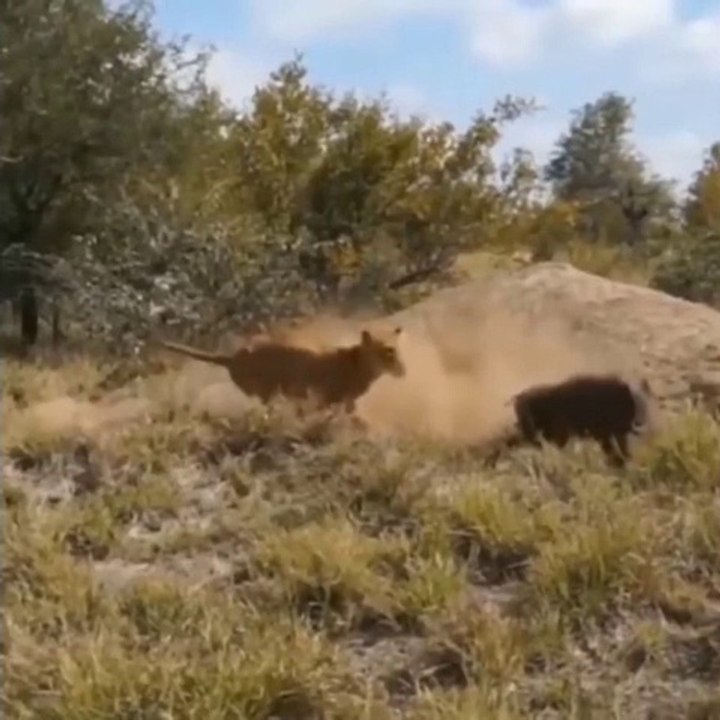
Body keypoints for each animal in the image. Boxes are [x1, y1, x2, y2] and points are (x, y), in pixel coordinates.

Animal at [159, 326, 406, 412]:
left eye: (396, 349)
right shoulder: (328, 400)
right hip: (267, 391)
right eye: (388, 351)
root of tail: (234, 357)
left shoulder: (345, 403)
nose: (403, 369)